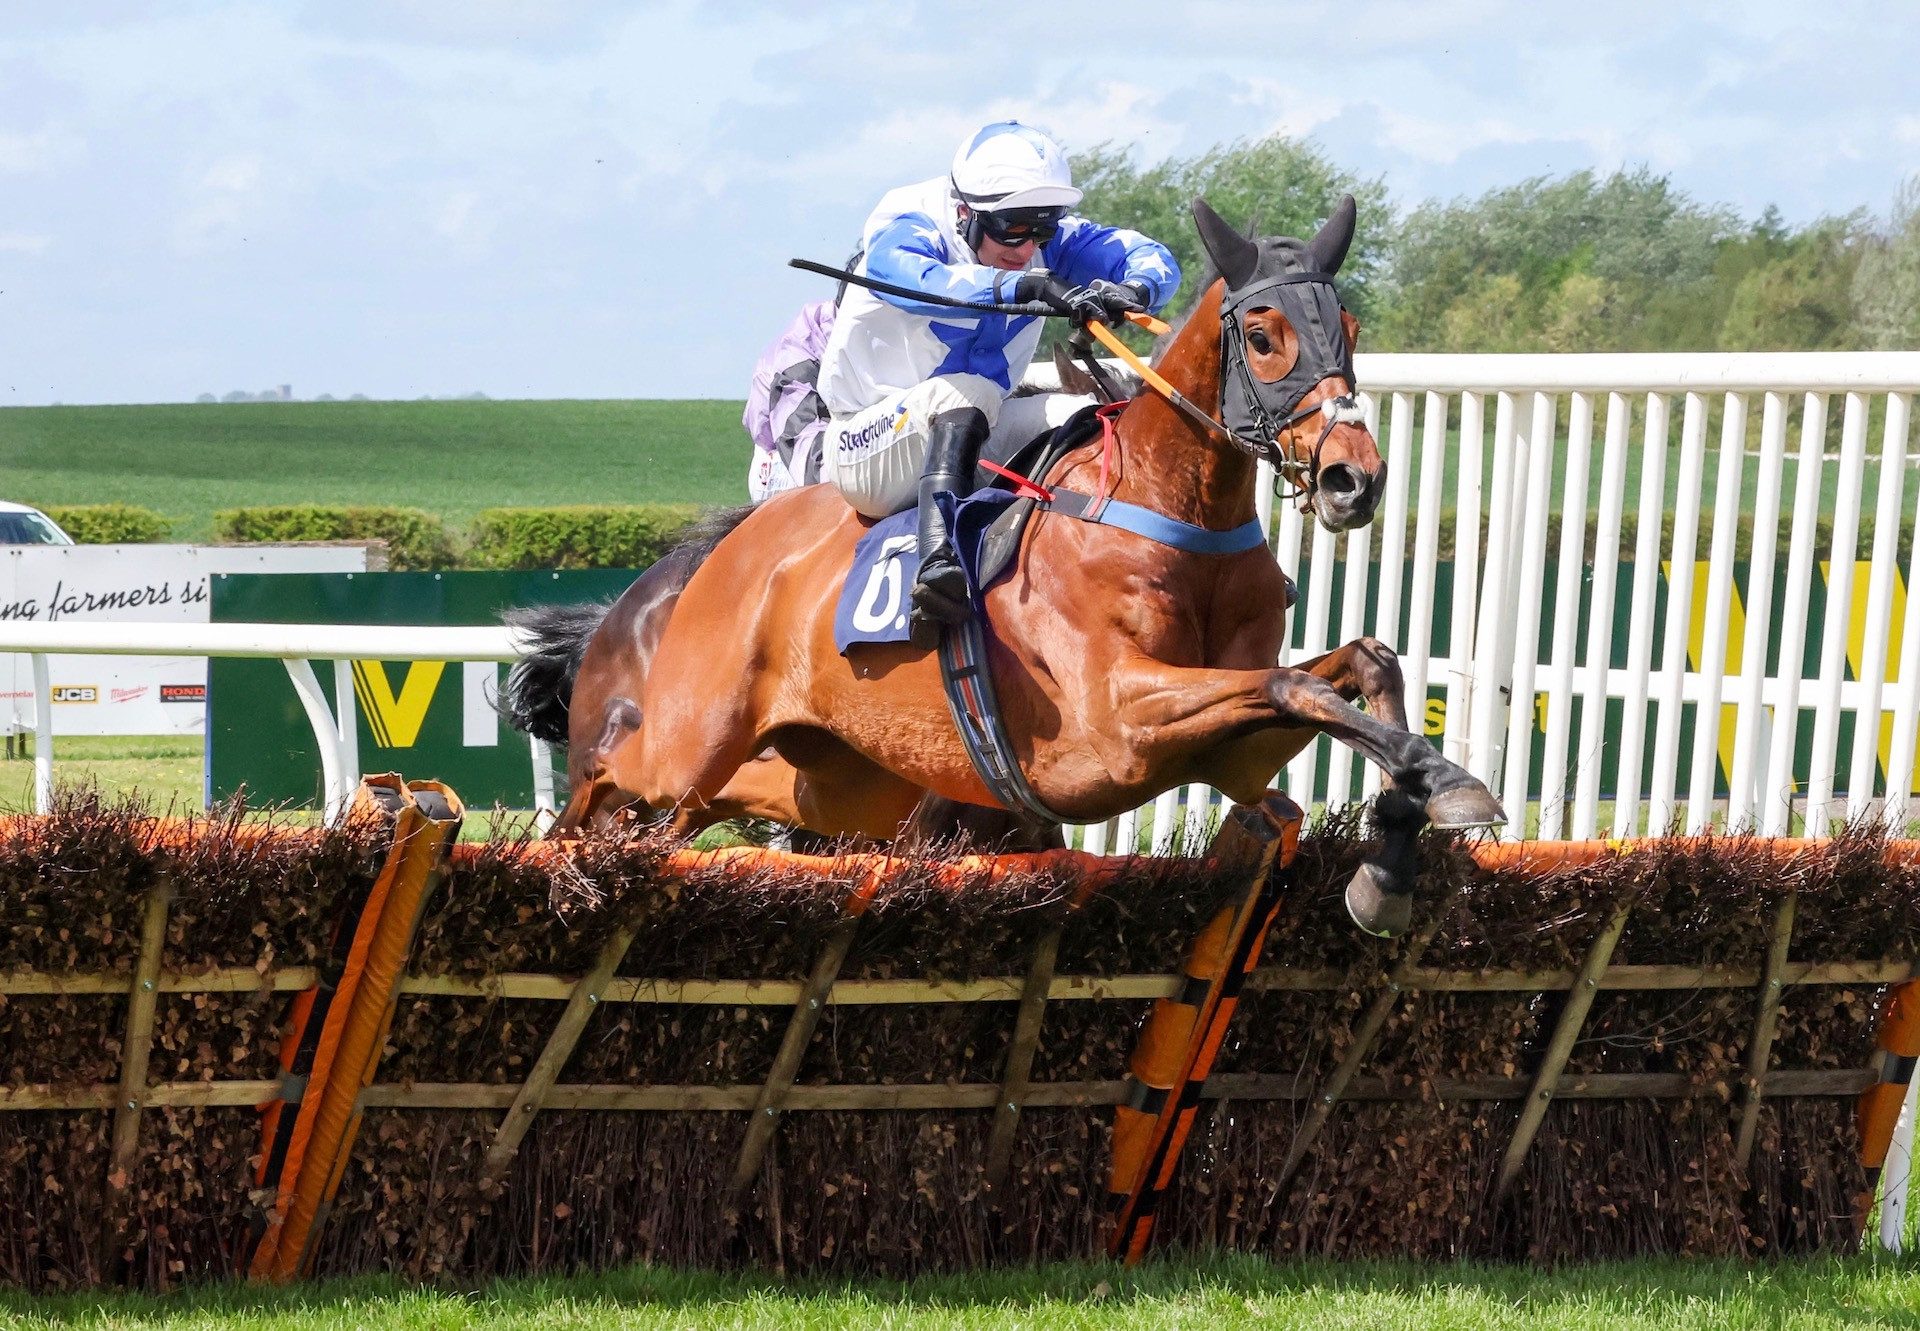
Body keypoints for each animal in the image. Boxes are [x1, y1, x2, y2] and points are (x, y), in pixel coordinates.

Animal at [503, 192, 1505, 933]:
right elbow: (1298, 685)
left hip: (835, 783)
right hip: (686, 744)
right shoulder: (1115, 722)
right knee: (606, 784)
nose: (1352, 479)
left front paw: (1411, 829)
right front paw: (1443, 793)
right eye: (1261, 334)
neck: (1172, 509)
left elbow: (1361, 668)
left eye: (1351, 326)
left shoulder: (1235, 752)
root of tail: (719, 554)